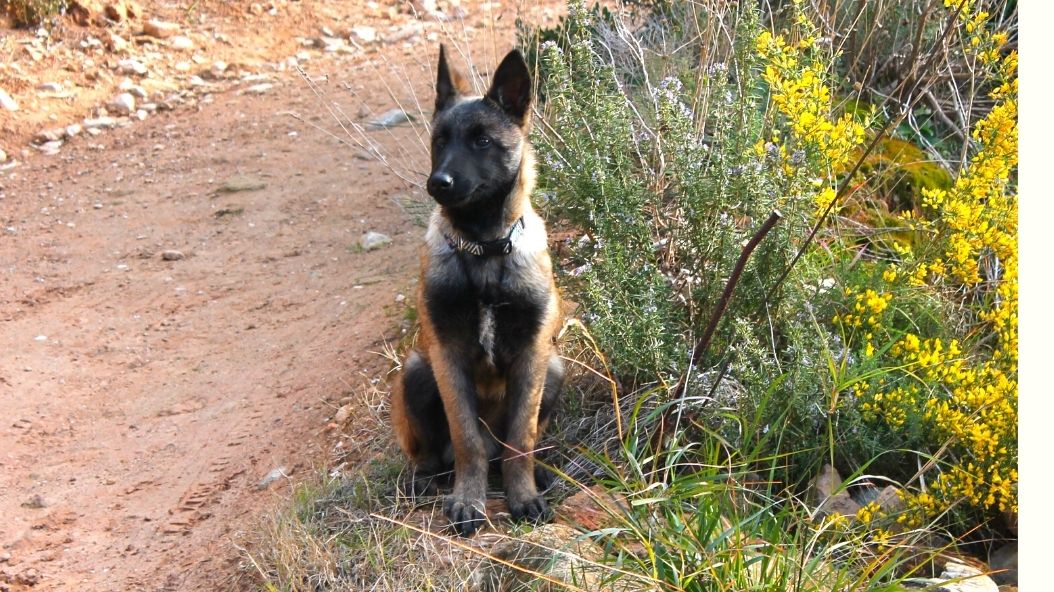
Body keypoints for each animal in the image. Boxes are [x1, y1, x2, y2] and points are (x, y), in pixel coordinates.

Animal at [387, 45, 564, 535]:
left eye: (482, 141)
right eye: (439, 141)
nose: (438, 183)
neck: (484, 249)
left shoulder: (532, 354)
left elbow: (522, 438)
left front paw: (524, 496)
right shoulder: (447, 356)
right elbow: (467, 441)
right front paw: (468, 501)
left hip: (555, 369)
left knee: (510, 447)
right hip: (416, 372)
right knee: (440, 455)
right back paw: (424, 479)